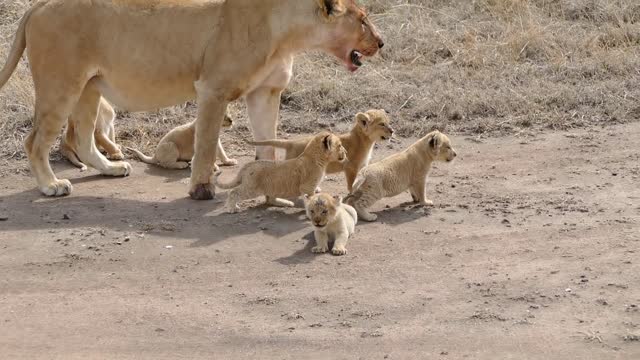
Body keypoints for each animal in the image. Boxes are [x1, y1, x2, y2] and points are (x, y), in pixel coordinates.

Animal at [214, 133, 344, 214]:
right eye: (339, 145)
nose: (345, 152)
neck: (314, 157)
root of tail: (247, 165)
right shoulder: (307, 187)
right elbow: (310, 200)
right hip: (252, 189)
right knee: (233, 192)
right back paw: (232, 208)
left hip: (271, 187)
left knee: (270, 199)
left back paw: (286, 203)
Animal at [246, 109, 392, 191]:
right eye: (382, 124)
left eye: (388, 122)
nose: (392, 131)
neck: (365, 141)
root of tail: (291, 142)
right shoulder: (350, 168)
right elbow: (351, 184)